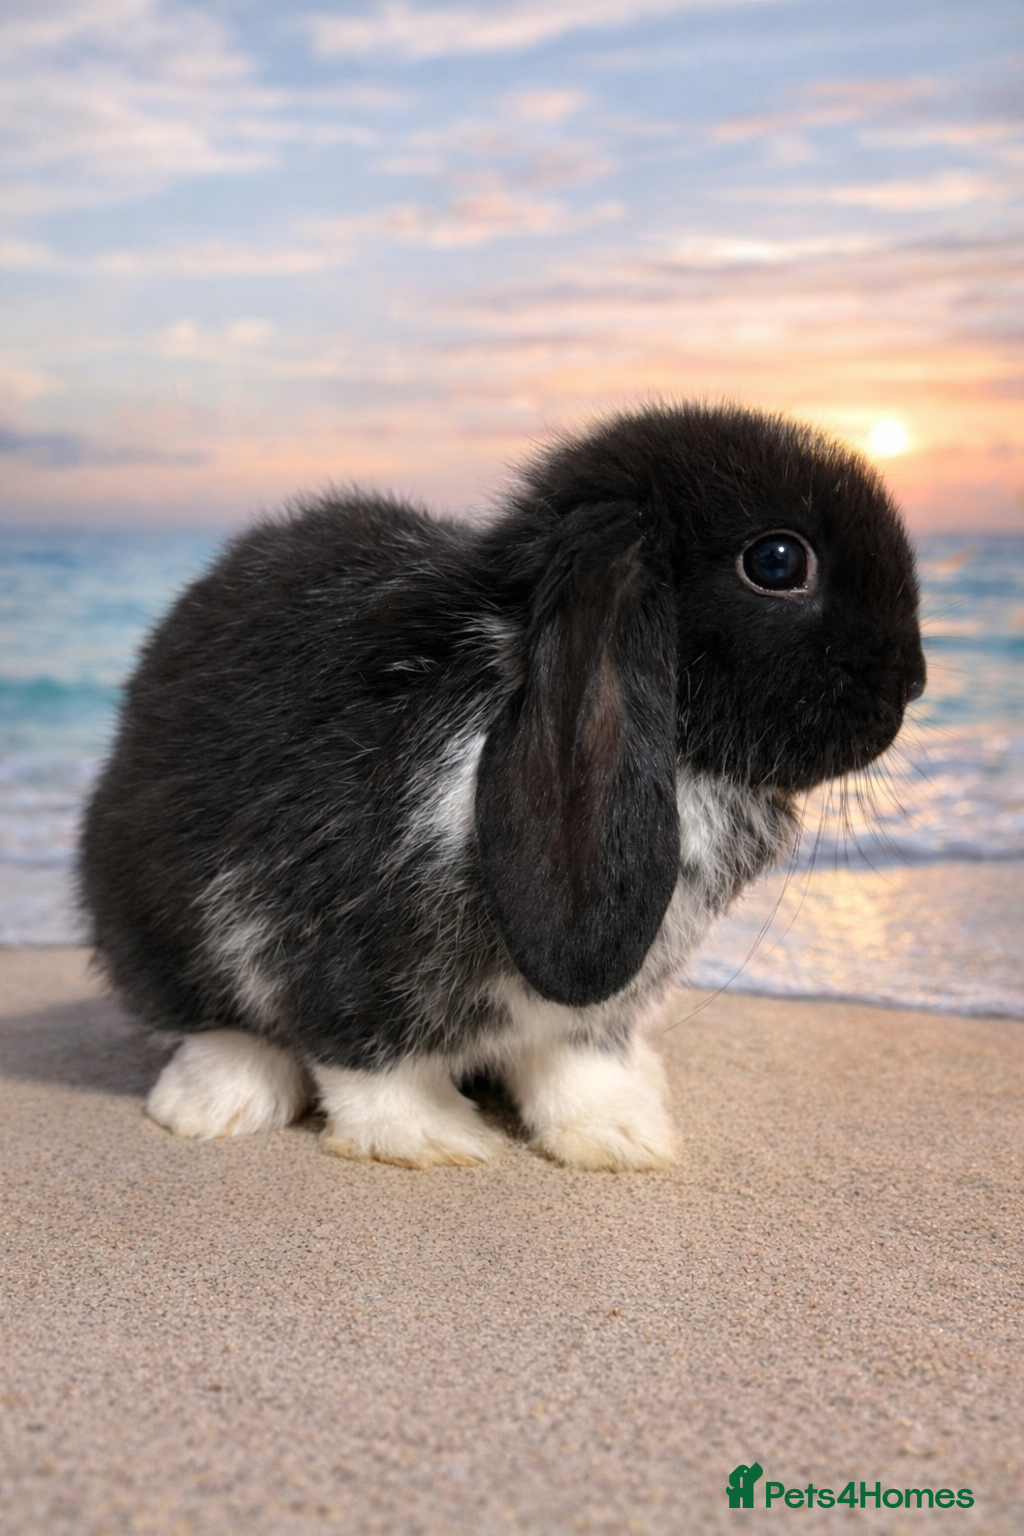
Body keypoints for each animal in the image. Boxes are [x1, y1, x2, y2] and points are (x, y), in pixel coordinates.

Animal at [79, 402, 925, 1171]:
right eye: (777, 561)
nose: (913, 682)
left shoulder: (595, 1006)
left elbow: (577, 1064)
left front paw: (621, 1139)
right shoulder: (329, 943)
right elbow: (367, 1057)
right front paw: (430, 1140)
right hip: (143, 916)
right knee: (208, 1020)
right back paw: (217, 1104)